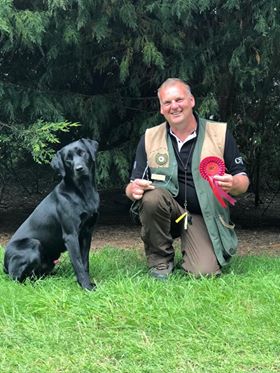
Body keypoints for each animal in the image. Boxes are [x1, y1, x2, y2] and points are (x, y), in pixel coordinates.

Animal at [3, 138, 99, 290]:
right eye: (68, 159)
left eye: (82, 152)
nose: (79, 168)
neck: (83, 192)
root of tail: (4, 265)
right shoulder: (71, 235)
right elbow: (78, 263)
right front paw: (86, 287)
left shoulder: (87, 233)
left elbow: (85, 262)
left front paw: (87, 283)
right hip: (34, 244)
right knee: (16, 279)